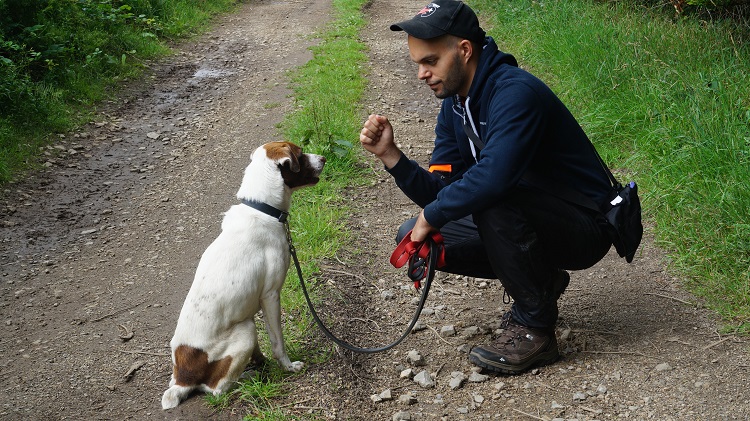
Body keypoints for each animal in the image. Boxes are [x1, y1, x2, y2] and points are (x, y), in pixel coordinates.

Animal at [162, 140, 326, 406]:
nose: (323, 158)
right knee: (216, 389)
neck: (263, 209)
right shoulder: (271, 296)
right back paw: (246, 380)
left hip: (245, 324)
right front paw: (288, 367)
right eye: (300, 154)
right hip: (245, 331)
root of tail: (183, 378)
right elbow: (277, 342)